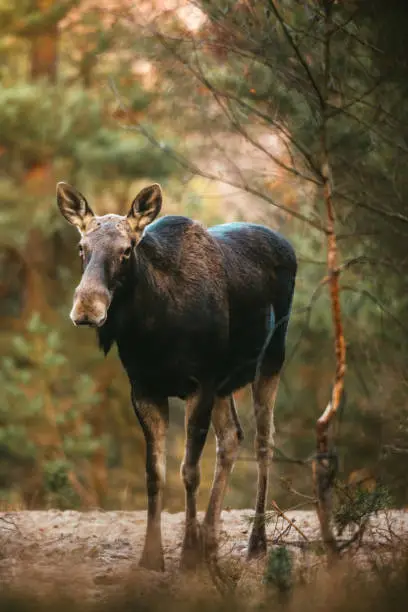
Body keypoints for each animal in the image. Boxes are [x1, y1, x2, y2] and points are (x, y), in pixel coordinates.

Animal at [55, 180, 296, 568]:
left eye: (126, 251)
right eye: (81, 247)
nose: (87, 307)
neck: (153, 331)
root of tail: (286, 244)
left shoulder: (200, 385)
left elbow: (189, 471)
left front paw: (187, 558)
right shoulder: (145, 388)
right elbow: (155, 473)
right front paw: (152, 557)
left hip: (272, 357)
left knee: (264, 442)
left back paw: (255, 544)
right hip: (225, 382)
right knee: (232, 438)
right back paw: (211, 540)